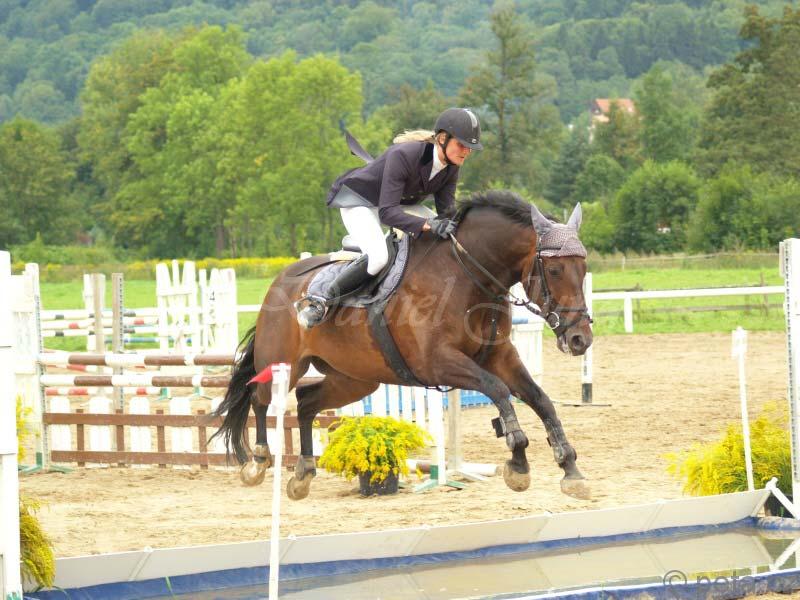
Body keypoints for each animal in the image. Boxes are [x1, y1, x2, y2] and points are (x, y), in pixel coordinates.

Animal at [211, 190, 593, 500]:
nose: (580, 339)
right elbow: (498, 390)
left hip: (355, 379)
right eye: (555, 270)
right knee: (260, 399)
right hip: (282, 364)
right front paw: (518, 459)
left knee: (306, 403)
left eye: (584, 266)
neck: (466, 276)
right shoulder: (438, 363)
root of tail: (280, 280)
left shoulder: (500, 355)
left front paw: (570, 469)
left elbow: (540, 400)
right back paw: (258, 462)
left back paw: (303, 473)